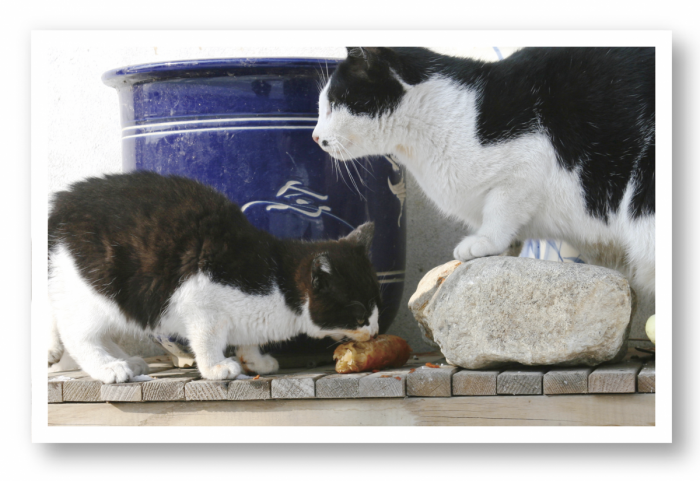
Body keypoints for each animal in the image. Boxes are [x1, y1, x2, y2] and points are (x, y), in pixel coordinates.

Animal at [47, 171, 382, 380]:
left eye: (375, 305)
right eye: (359, 314)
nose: (376, 330)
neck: (277, 281)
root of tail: (60, 203)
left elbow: (248, 337)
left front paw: (255, 359)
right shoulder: (199, 301)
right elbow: (207, 339)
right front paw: (216, 367)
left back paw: (125, 359)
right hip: (96, 285)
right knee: (76, 331)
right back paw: (109, 367)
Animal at [314, 47, 656, 296]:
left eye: (331, 104)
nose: (315, 137)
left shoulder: (527, 164)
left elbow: (500, 210)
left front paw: (486, 241)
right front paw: (507, 248)